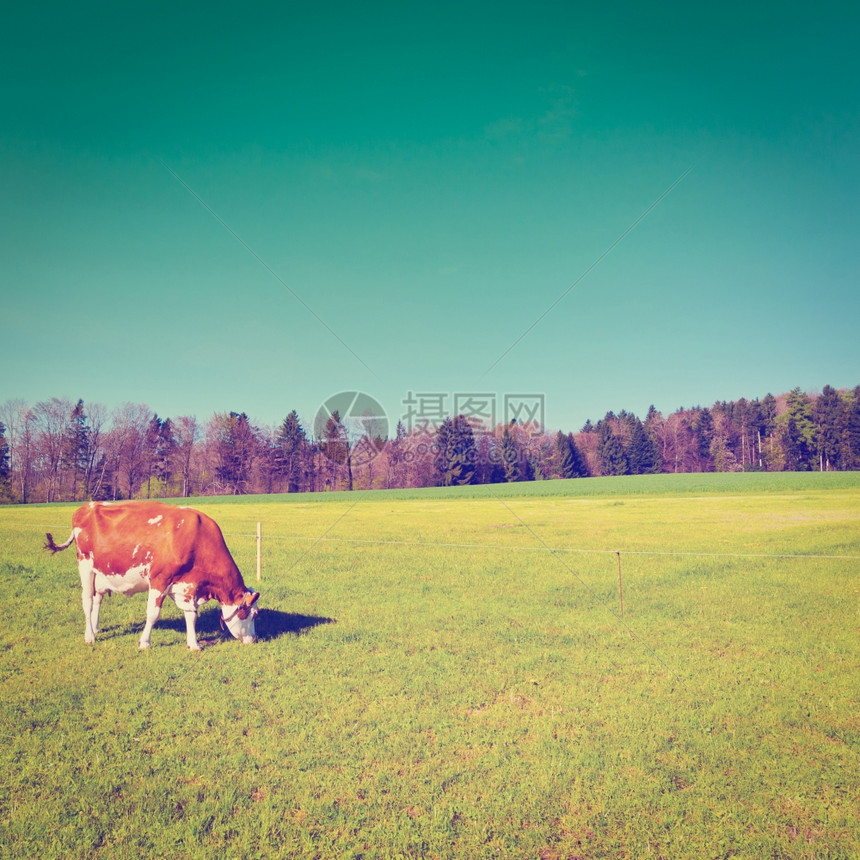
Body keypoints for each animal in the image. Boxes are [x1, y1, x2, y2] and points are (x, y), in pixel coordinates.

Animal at [45, 500, 258, 648]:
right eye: (251, 614)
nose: (254, 639)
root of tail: (86, 506)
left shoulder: (188, 587)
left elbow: (191, 616)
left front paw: (194, 644)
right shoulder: (159, 579)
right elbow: (153, 613)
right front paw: (145, 642)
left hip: (102, 572)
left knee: (98, 599)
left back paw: (96, 628)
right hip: (85, 565)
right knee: (88, 601)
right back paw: (89, 636)